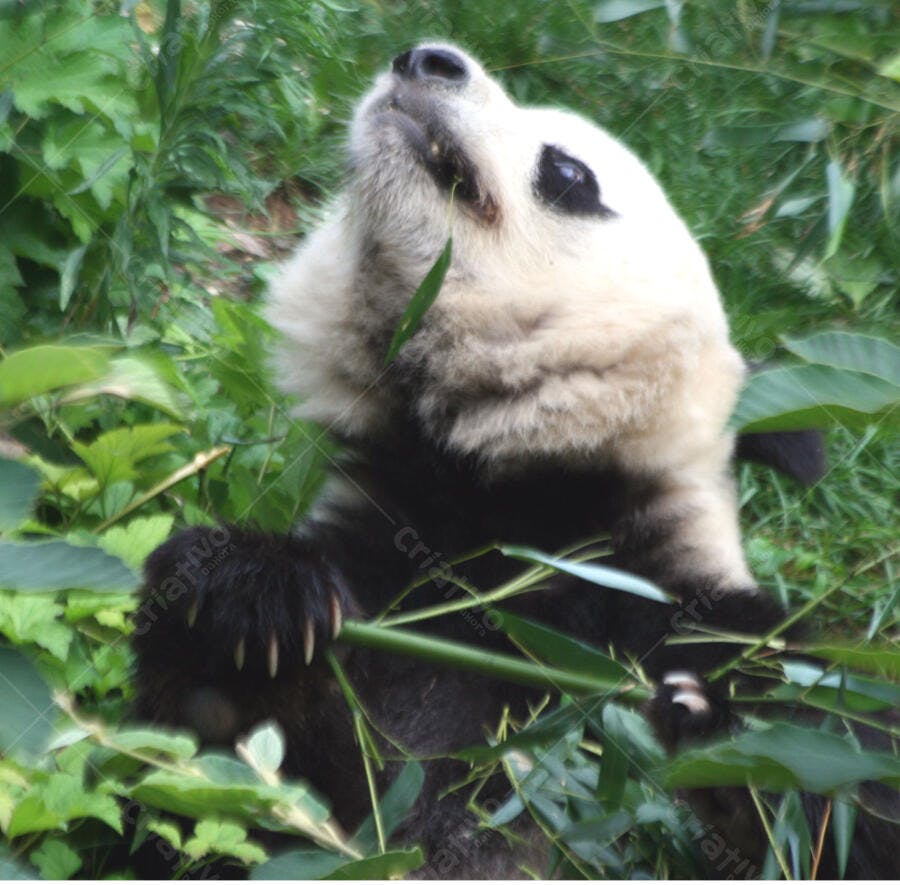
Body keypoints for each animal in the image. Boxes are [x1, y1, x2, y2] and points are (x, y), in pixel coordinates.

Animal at [134, 43, 894, 878]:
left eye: (568, 171)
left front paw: (725, 740)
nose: (428, 57)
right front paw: (256, 596)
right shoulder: (387, 560)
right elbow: (212, 770)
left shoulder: (676, 610)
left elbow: (836, 773)